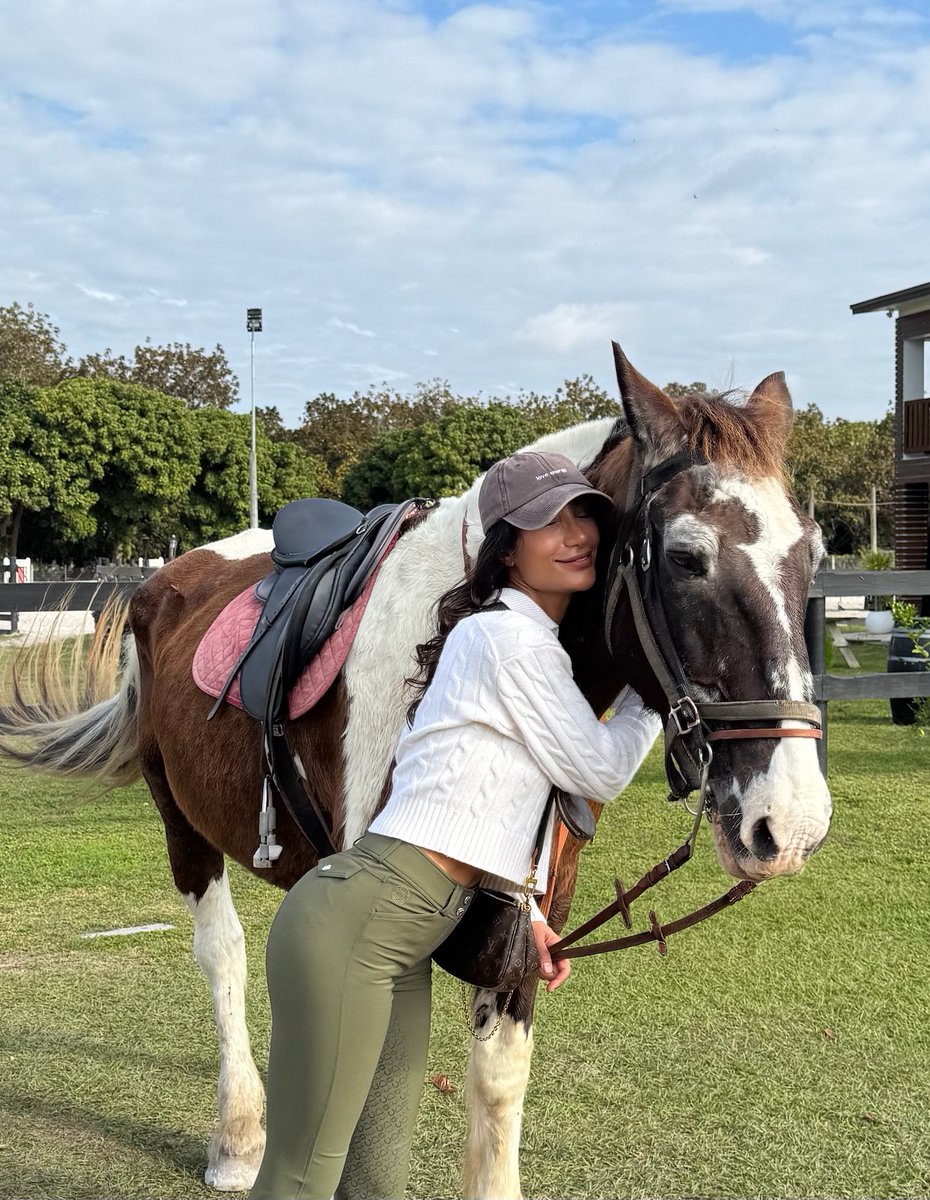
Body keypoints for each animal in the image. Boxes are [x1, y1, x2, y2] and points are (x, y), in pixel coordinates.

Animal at [0, 346, 832, 1199]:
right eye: (687, 557)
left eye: (813, 555)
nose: (791, 823)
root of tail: (168, 577)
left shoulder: (531, 913)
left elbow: (496, 1079)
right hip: (180, 821)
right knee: (222, 953)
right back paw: (239, 1133)